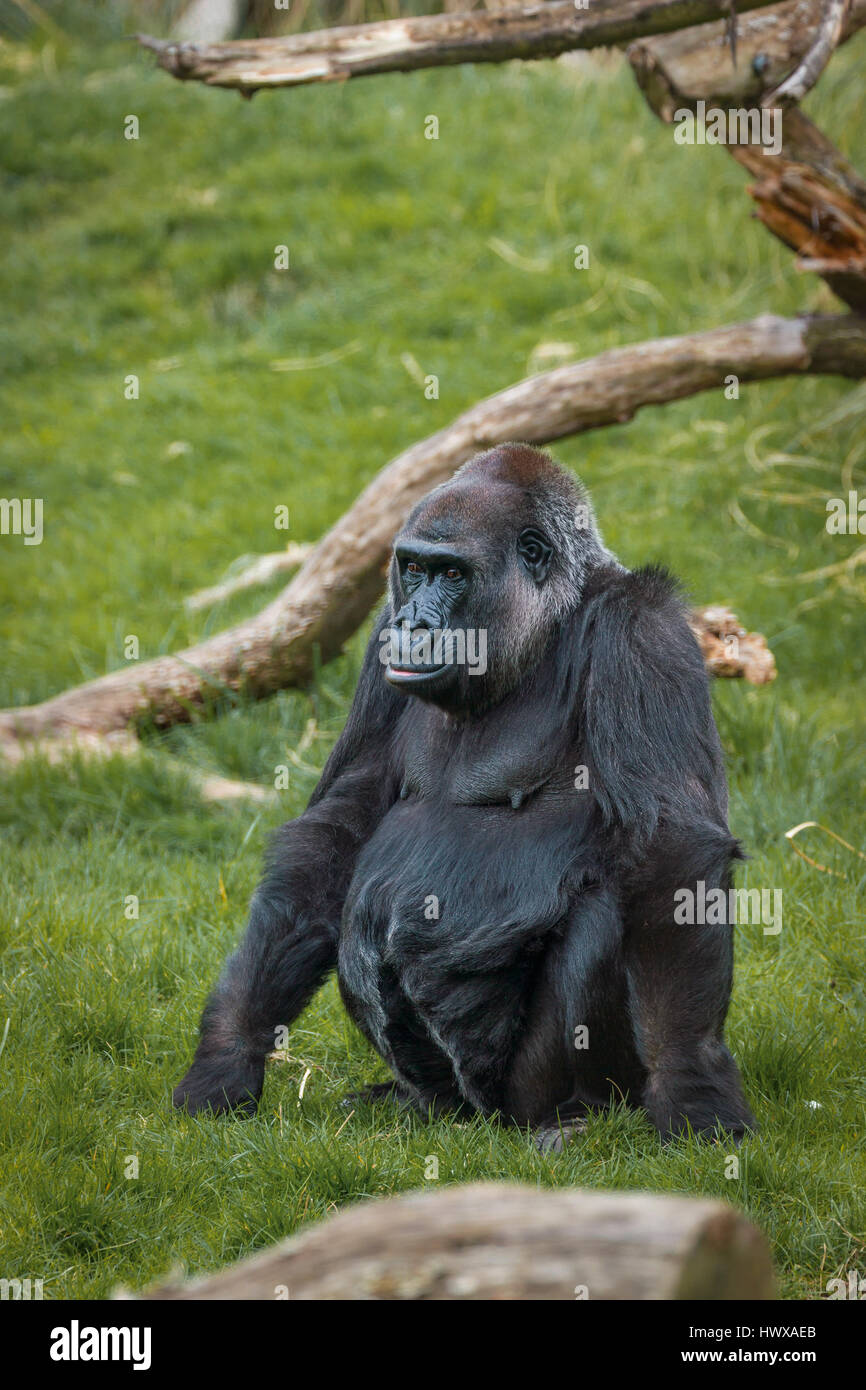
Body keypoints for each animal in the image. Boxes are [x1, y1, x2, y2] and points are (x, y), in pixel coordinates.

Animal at [173, 444, 756, 1150]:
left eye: (451, 573)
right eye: (413, 568)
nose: (413, 623)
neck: (550, 622)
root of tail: (480, 1117)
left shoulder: (643, 634)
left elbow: (671, 853)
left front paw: (692, 1086)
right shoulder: (379, 643)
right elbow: (336, 833)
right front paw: (228, 1054)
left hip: (523, 1096)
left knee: (602, 914)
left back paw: (574, 1113)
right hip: (450, 1094)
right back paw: (412, 1100)